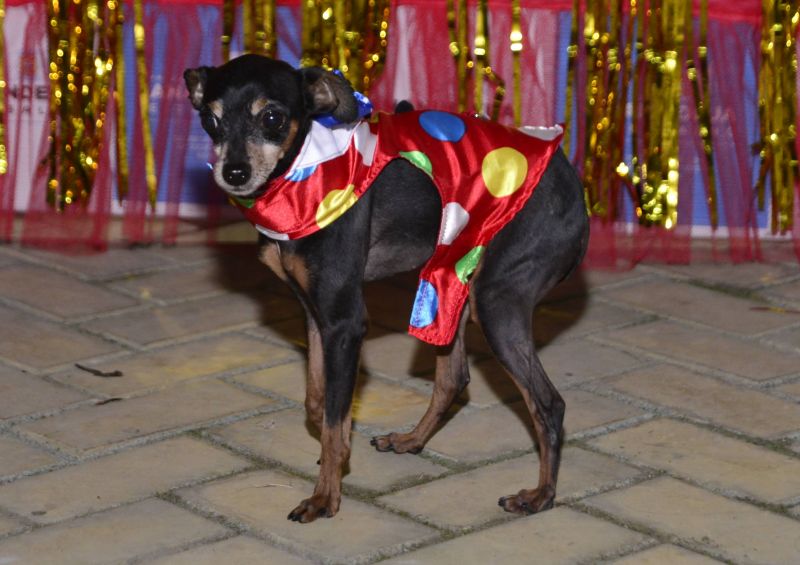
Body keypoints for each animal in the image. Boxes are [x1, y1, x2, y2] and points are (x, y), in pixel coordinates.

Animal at [184, 55, 592, 524]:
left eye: (272, 117)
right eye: (210, 119)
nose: (234, 173)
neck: (302, 173)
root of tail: (572, 183)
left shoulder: (345, 323)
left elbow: (332, 417)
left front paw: (325, 497)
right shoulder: (316, 315)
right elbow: (319, 403)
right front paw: (337, 455)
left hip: (495, 300)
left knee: (548, 404)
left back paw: (540, 495)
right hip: (451, 278)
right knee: (455, 378)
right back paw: (411, 440)